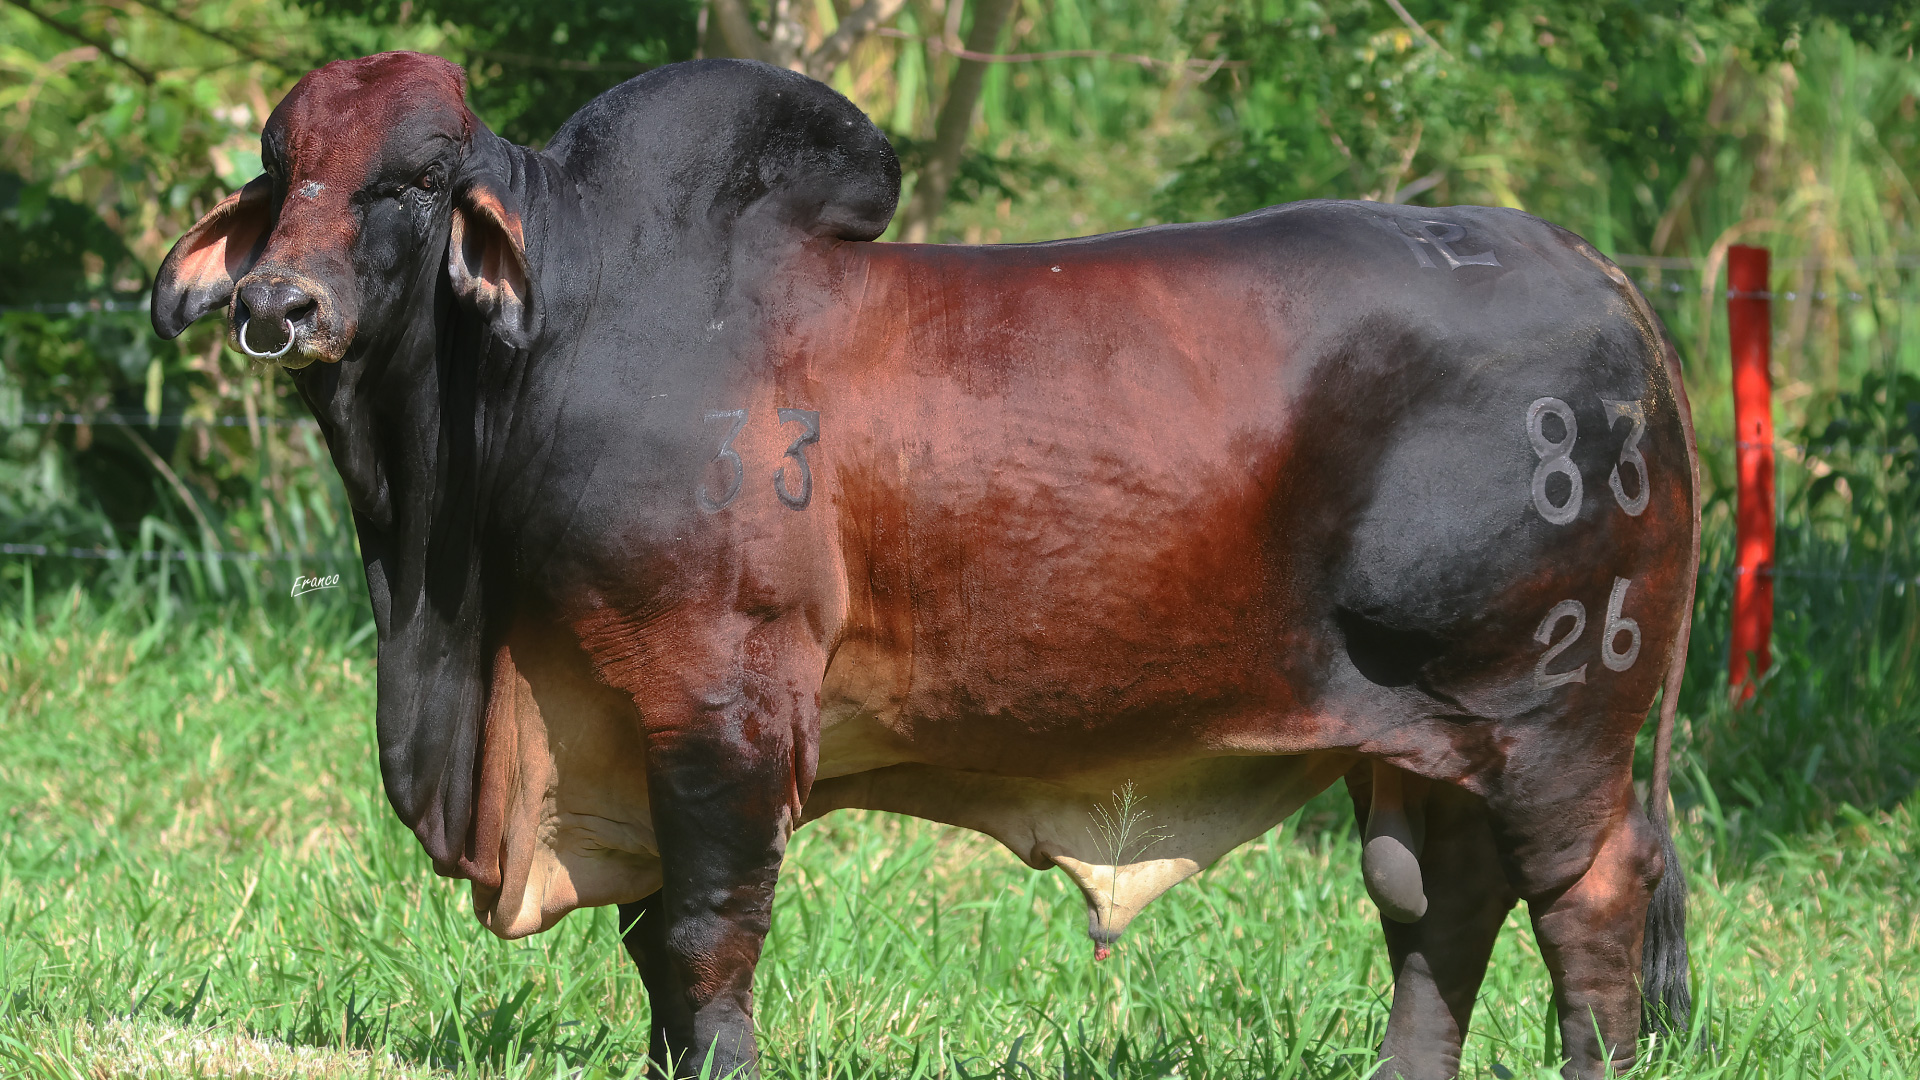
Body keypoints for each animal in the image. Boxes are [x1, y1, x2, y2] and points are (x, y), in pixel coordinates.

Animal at [151, 51, 1698, 1080]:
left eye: (413, 184)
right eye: (282, 176)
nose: (278, 306)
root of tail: (1598, 273)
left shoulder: (719, 702)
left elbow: (703, 936)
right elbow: (655, 949)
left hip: (1557, 719)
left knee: (1590, 907)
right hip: (1422, 745)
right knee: (1439, 915)